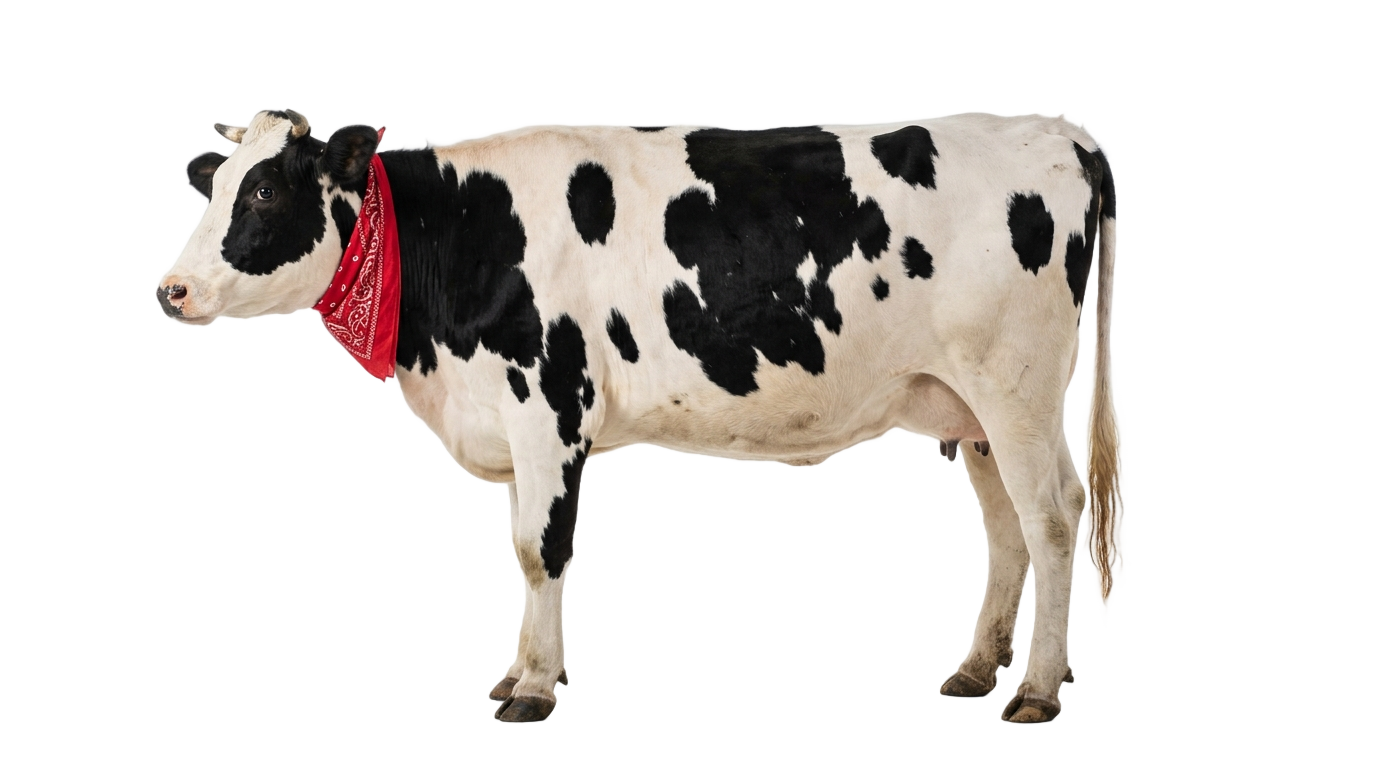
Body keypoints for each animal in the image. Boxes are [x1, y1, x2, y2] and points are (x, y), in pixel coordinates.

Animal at [156, 108, 1124, 724]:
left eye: (266, 193)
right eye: (217, 185)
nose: (173, 289)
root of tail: (1058, 133)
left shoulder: (548, 405)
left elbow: (539, 551)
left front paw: (535, 688)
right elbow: (525, 550)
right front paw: (522, 672)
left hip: (1017, 387)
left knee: (1052, 525)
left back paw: (1038, 690)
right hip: (974, 409)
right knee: (1007, 530)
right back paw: (977, 672)